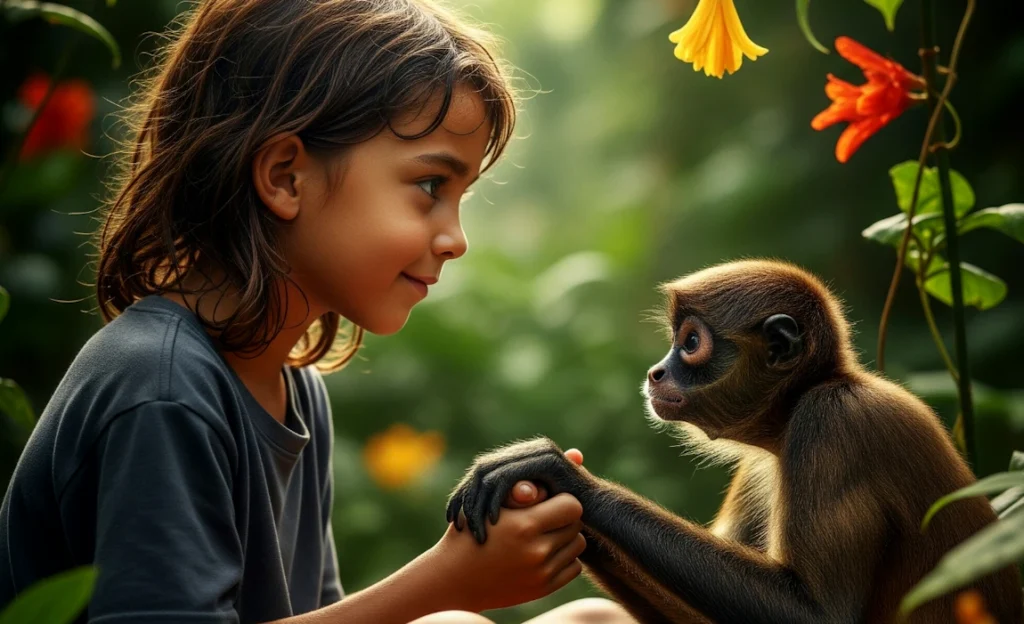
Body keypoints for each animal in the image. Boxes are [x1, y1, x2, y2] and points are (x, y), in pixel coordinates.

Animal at [446, 260, 1023, 624]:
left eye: (691, 343)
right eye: (675, 342)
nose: (656, 372)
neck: (808, 395)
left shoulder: (831, 425)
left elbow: (820, 617)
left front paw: (566, 481)